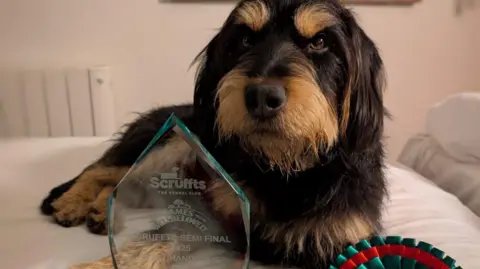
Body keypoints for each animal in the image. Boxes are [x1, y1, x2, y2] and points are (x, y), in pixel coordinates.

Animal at [39, 0, 388, 266]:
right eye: (245, 40)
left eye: (320, 42)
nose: (262, 97)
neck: (281, 170)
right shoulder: (210, 213)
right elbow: (158, 239)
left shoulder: (342, 239)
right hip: (165, 143)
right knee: (98, 169)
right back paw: (73, 201)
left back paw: (98, 211)